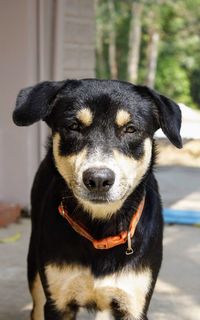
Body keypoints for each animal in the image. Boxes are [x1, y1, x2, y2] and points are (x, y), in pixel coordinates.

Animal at [12, 78, 181, 320]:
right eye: (73, 126)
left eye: (131, 129)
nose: (99, 179)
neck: (100, 228)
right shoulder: (58, 302)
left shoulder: (133, 303)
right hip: (35, 267)